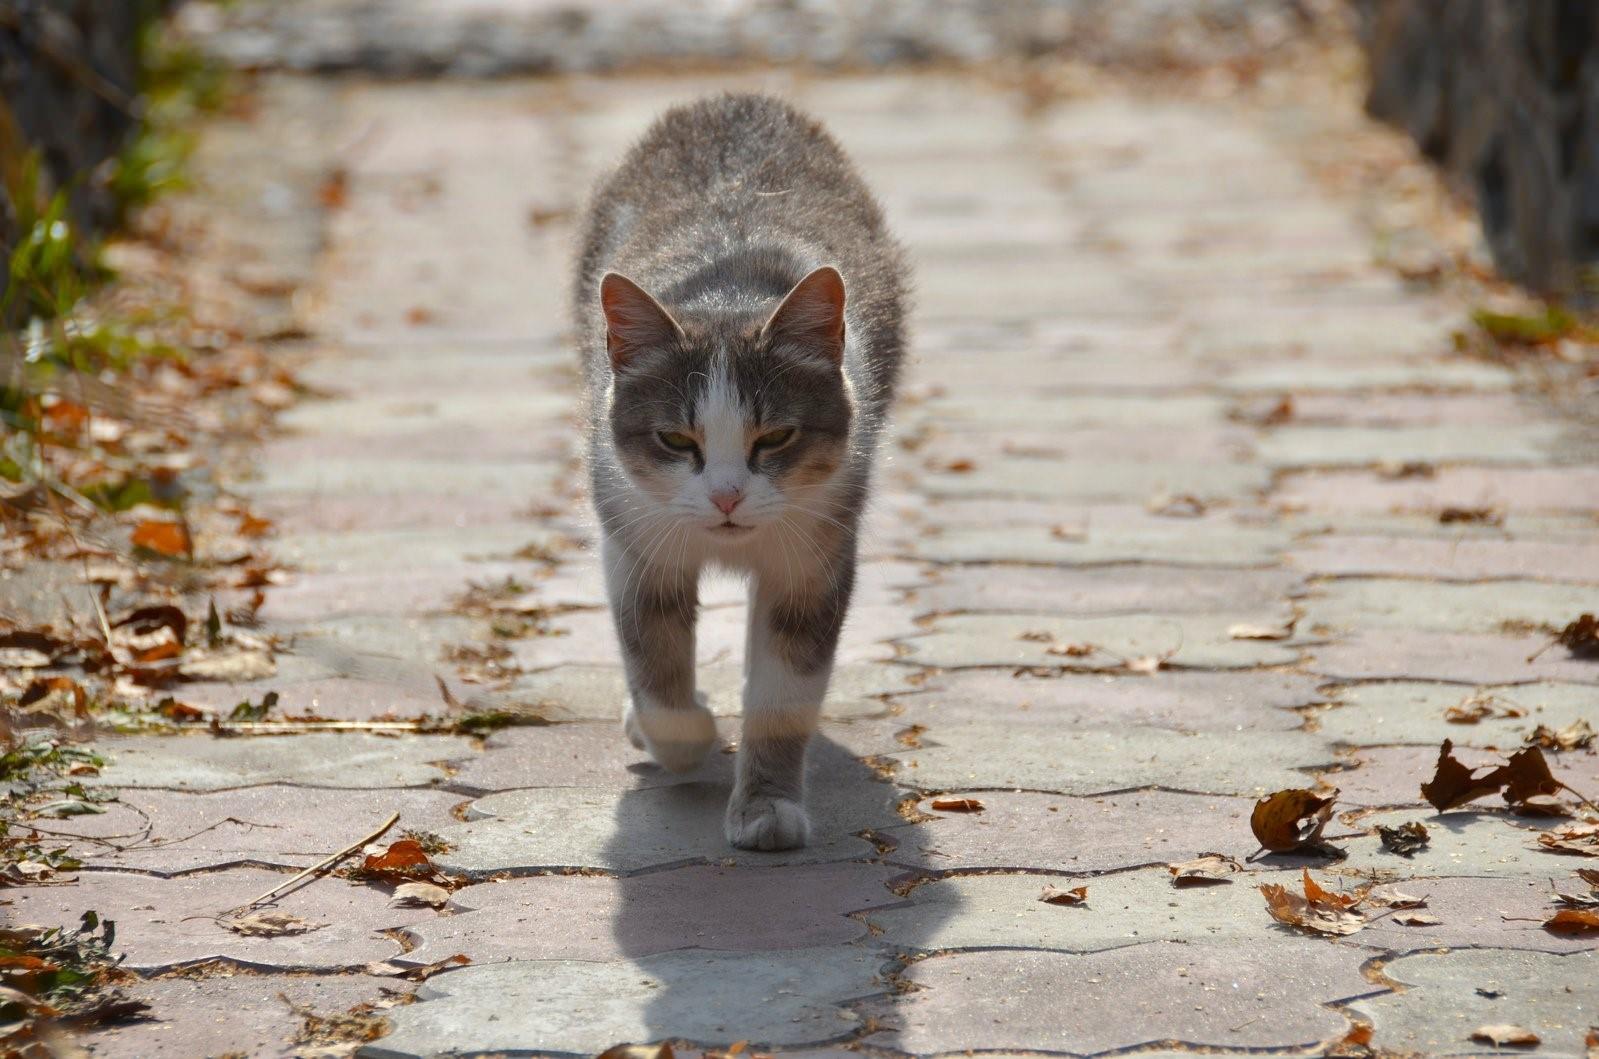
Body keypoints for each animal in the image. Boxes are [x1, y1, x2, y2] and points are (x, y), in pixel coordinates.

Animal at [575, 91, 908, 857]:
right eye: (675, 438)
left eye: (776, 436)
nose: (727, 496)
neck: (728, 291)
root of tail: (733, 100)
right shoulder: (634, 535)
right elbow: (653, 654)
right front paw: (684, 733)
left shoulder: (813, 555)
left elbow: (783, 692)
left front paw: (767, 805)